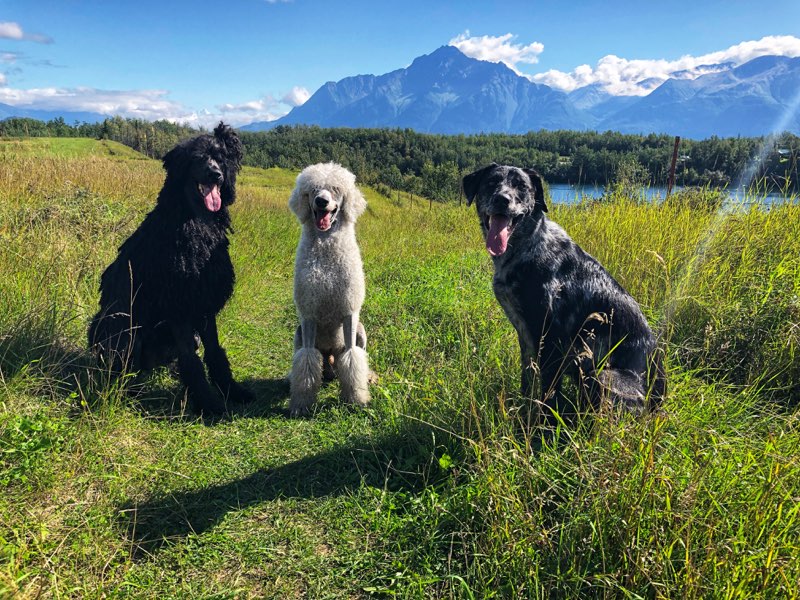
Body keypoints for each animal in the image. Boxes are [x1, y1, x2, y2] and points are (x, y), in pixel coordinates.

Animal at [87, 122, 252, 412]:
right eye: (198, 157)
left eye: (220, 157)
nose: (216, 174)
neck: (195, 222)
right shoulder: (179, 305)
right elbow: (192, 362)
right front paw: (209, 403)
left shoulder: (203, 304)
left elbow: (214, 352)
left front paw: (231, 389)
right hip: (122, 329)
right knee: (121, 366)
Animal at [462, 161, 664, 422]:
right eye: (491, 182)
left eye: (521, 186)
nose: (501, 199)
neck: (528, 246)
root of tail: (660, 406)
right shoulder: (527, 338)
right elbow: (528, 382)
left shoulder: (551, 341)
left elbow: (548, 396)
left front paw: (541, 427)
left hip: (604, 376)